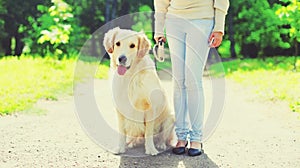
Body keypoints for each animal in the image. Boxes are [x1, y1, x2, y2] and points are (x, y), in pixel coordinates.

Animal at [103, 27, 175, 155]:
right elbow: (121, 133)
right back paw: (131, 143)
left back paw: (160, 145)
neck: (130, 76)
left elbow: (149, 133)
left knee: (163, 137)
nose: (121, 58)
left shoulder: (150, 108)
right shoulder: (120, 108)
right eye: (117, 43)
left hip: (170, 119)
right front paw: (120, 148)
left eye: (132, 45)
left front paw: (151, 149)